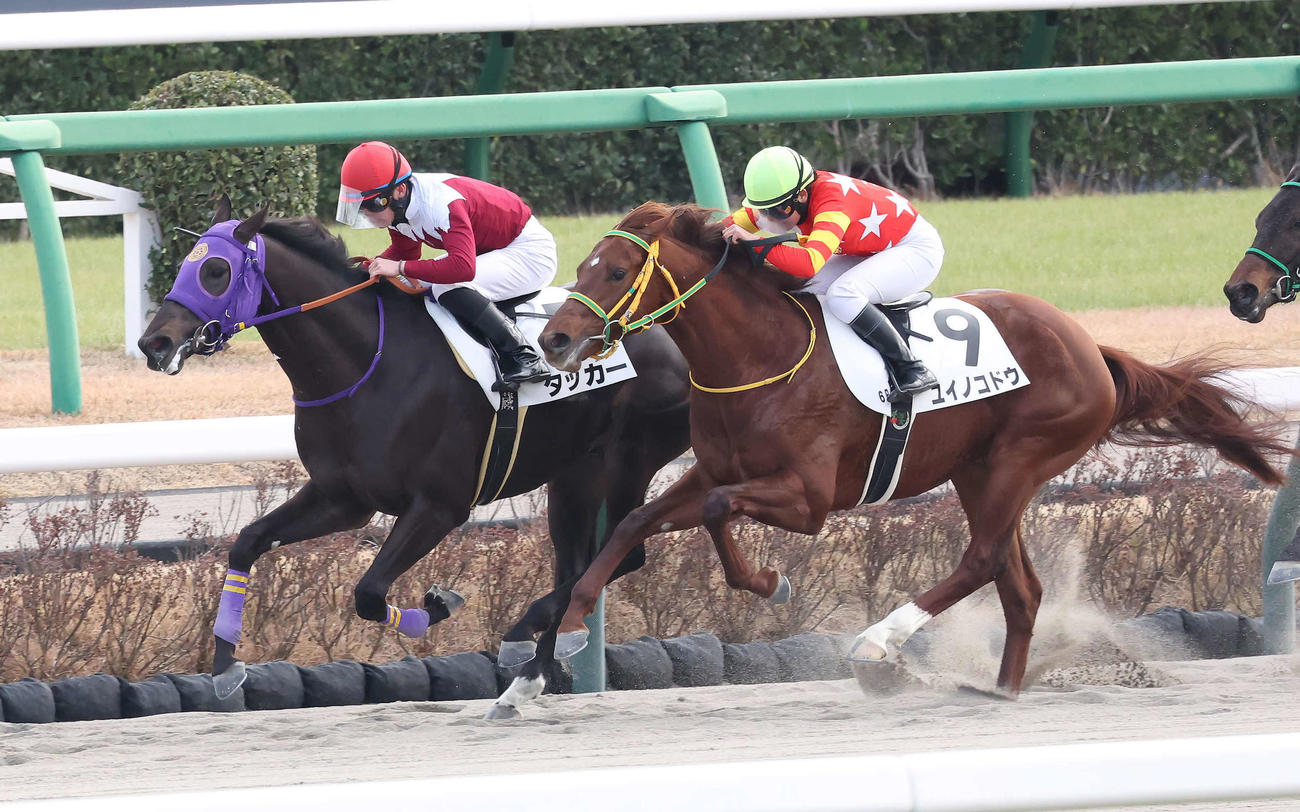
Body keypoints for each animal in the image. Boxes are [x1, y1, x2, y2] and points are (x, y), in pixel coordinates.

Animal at [137, 198, 691, 719]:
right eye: (186, 264)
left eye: (215, 271)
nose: (152, 342)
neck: (367, 361)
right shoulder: (342, 498)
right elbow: (247, 543)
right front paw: (225, 667)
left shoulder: (440, 506)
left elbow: (368, 591)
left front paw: (439, 603)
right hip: (575, 472)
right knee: (581, 562)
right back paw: (523, 680)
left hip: (630, 457)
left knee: (624, 551)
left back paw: (520, 637)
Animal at [538, 201, 1290, 696]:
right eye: (583, 265)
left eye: (616, 272)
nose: (553, 340)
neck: (761, 356)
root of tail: (1090, 348)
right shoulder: (714, 470)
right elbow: (636, 522)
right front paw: (564, 634)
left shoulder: (807, 500)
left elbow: (722, 512)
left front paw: (768, 582)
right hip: (980, 472)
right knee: (1017, 585)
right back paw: (1001, 689)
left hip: (1021, 458)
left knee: (982, 559)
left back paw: (881, 641)